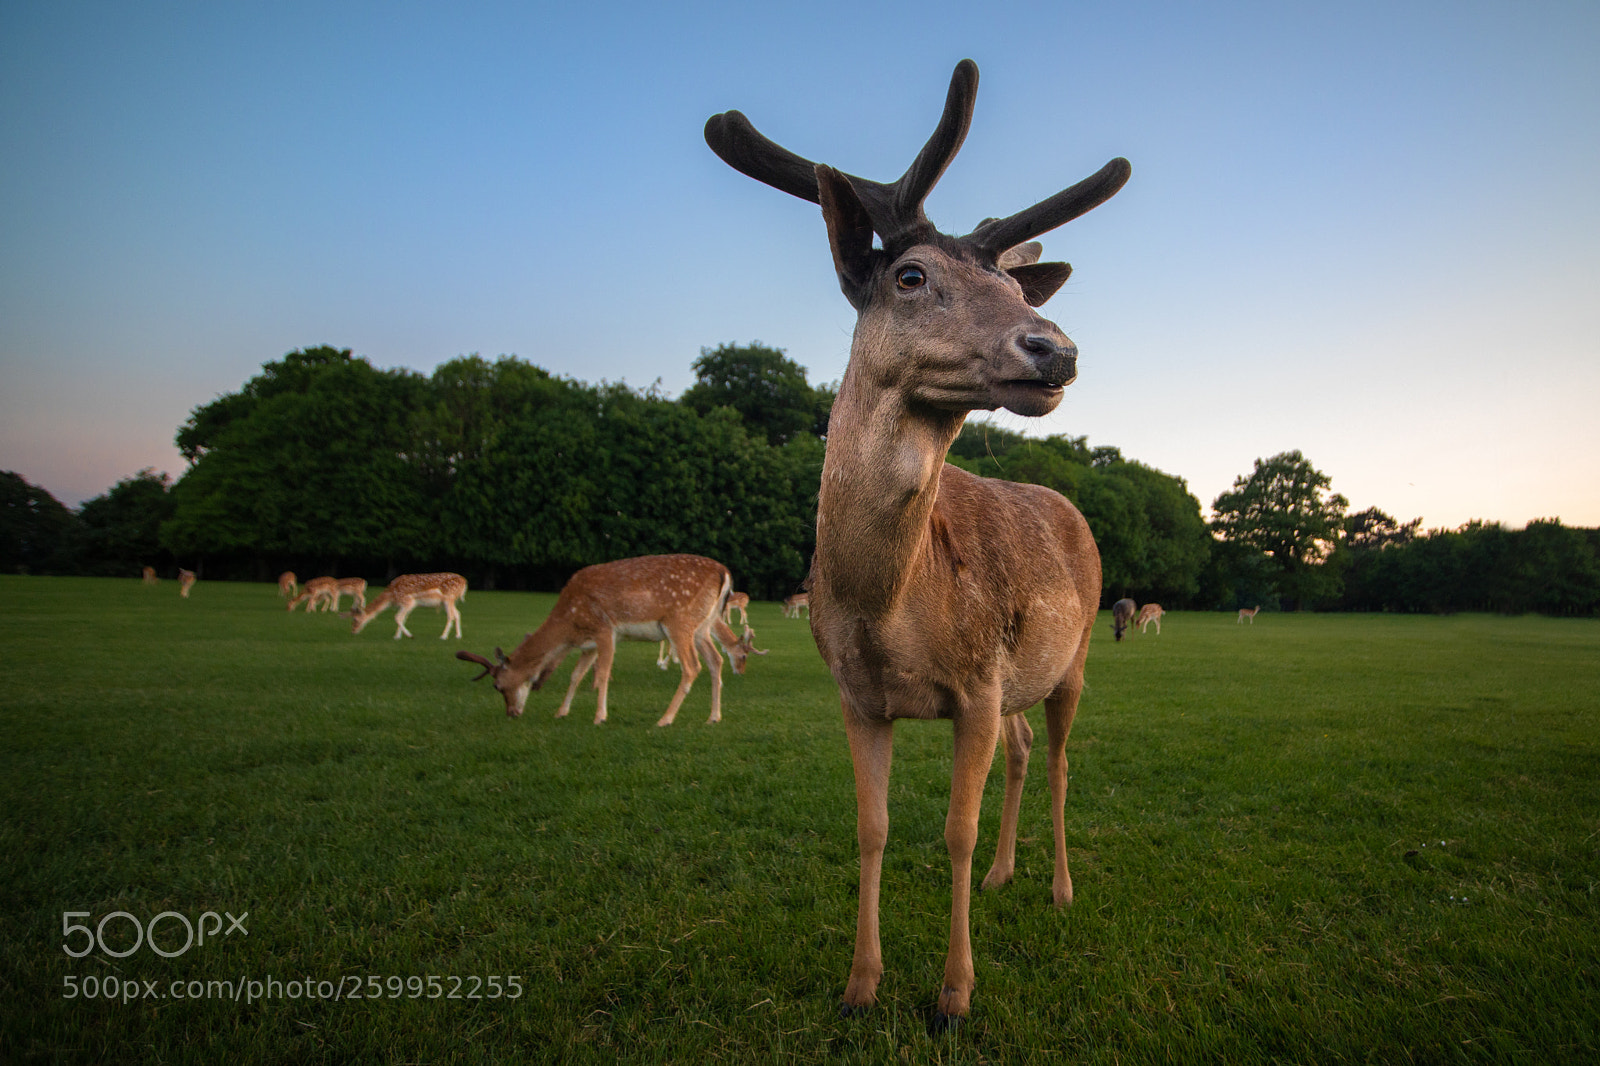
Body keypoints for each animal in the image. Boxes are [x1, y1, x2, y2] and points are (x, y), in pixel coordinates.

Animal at [456, 554, 740, 726]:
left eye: (497, 686)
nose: (512, 713)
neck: (570, 625)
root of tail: (724, 572)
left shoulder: (605, 630)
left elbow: (602, 673)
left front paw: (600, 716)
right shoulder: (588, 644)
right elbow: (576, 675)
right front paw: (561, 712)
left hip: (679, 621)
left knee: (692, 666)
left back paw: (665, 719)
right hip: (703, 625)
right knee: (716, 660)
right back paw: (713, 717)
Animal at [705, 58, 1129, 1024]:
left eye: (1015, 288)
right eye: (908, 274)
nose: (1055, 348)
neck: (881, 604)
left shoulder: (973, 684)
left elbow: (953, 832)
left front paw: (952, 995)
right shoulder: (859, 696)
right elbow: (873, 827)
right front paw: (860, 985)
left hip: (1078, 652)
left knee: (1058, 759)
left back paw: (1058, 888)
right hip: (1021, 676)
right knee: (1024, 752)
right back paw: (1010, 878)